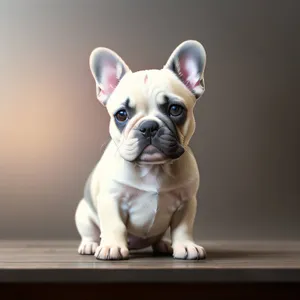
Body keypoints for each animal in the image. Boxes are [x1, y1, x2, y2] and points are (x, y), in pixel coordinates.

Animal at [74, 39, 207, 260]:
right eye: (121, 114)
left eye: (175, 109)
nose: (149, 126)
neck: (153, 168)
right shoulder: (111, 199)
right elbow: (115, 225)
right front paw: (112, 247)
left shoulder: (187, 202)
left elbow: (183, 227)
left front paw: (186, 246)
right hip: (83, 213)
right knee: (90, 233)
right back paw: (90, 245)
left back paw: (163, 244)